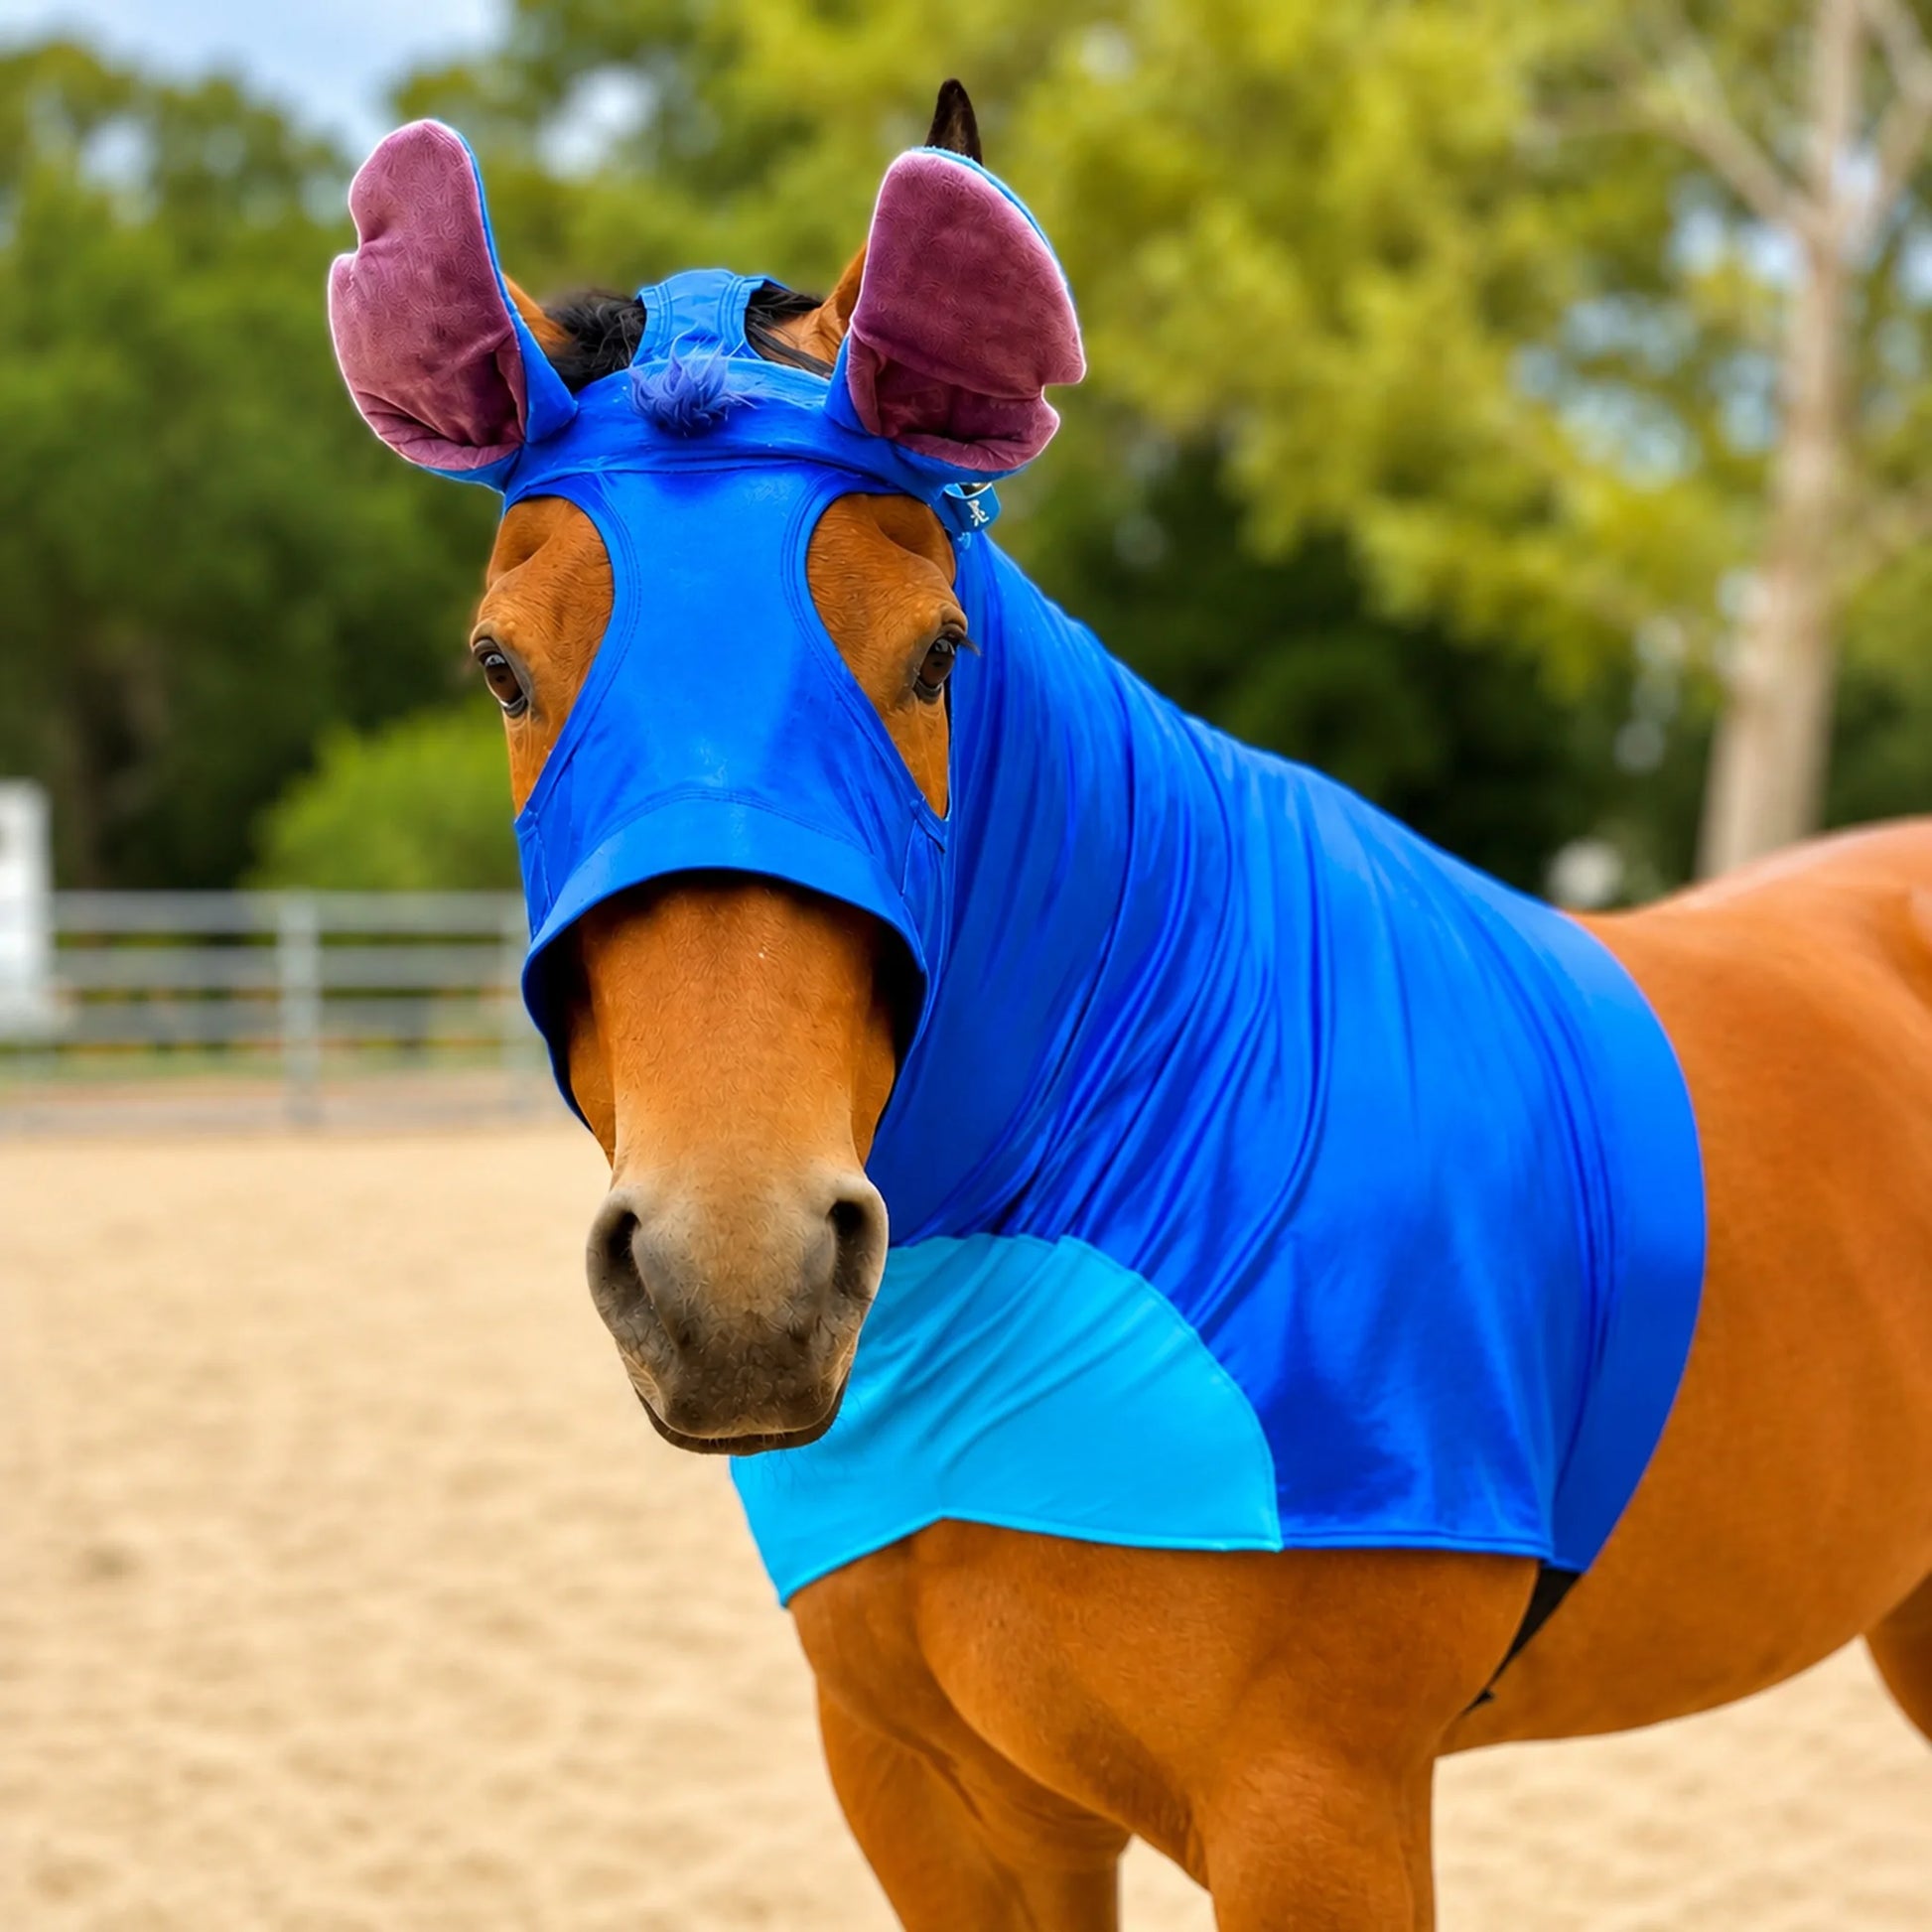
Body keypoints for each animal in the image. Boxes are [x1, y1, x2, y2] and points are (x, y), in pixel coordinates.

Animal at [328, 82, 1932, 1929]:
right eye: (501, 664)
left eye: (937, 652)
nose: (737, 1279)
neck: (1153, 1130)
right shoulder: (939, 1803)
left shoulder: (1315, 1808)